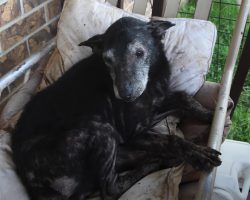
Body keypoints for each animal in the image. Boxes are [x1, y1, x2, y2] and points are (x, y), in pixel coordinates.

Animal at [11, 17, 221, 200]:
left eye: (139, 53)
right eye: (108, 60)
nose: (125, 95)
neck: (152, 80)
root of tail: (30, 182)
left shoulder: (156, 105)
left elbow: (184, 97)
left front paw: (211, 115)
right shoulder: (133, 131)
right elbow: (172, 139)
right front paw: (198, 154)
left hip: (118, 149)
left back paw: (166, 158)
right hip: (102, 129)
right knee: (110, 189)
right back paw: (156, 163)